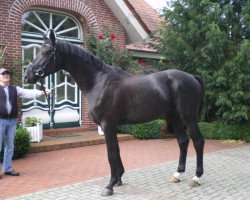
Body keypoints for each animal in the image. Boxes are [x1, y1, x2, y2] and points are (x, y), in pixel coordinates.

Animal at [25, 30, 205, 196]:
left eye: (46, 52)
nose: (28, 75)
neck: (98, 82)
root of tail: (192, 77)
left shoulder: (108, 124)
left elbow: (111, 153)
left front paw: (110, 185)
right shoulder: (112, 126)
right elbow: (116, 151)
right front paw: (118, 179)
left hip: (189, 118)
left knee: (198, 141)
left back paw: (196, 177)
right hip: (174, 117)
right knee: (183, 141)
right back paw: (177, 174)